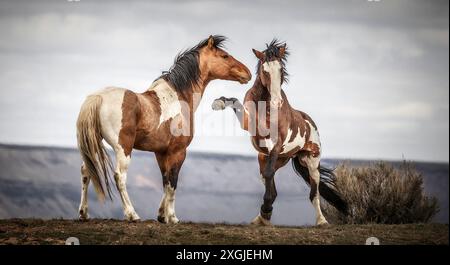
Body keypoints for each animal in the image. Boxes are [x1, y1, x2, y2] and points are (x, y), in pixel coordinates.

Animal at [78, 34, 251, 221]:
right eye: (225, 56)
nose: (247, 73)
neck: (178, 97)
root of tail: (97, 97)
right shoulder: (178, 152)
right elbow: (173, 183)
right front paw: (172, 217)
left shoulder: (161, 152)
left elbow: (165, 181)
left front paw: (162, 215)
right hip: (123, 148)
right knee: (119, 176)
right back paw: (132, 214)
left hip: (93, 144)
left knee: (86, 171)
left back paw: (83, 213)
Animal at [212, 39, 348, 225]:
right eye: (264, 70)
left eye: (281, 69)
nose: (277, 102)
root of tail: (310, 123)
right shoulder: (249, 125)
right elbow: (234, 102)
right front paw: (218, 103)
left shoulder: (276, 145)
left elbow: (271, 173)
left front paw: (266, 209)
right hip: (274, 159)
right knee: (271, 184)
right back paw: (261, 218)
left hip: (311, 162)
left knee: (314, 194)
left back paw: (321, 221)